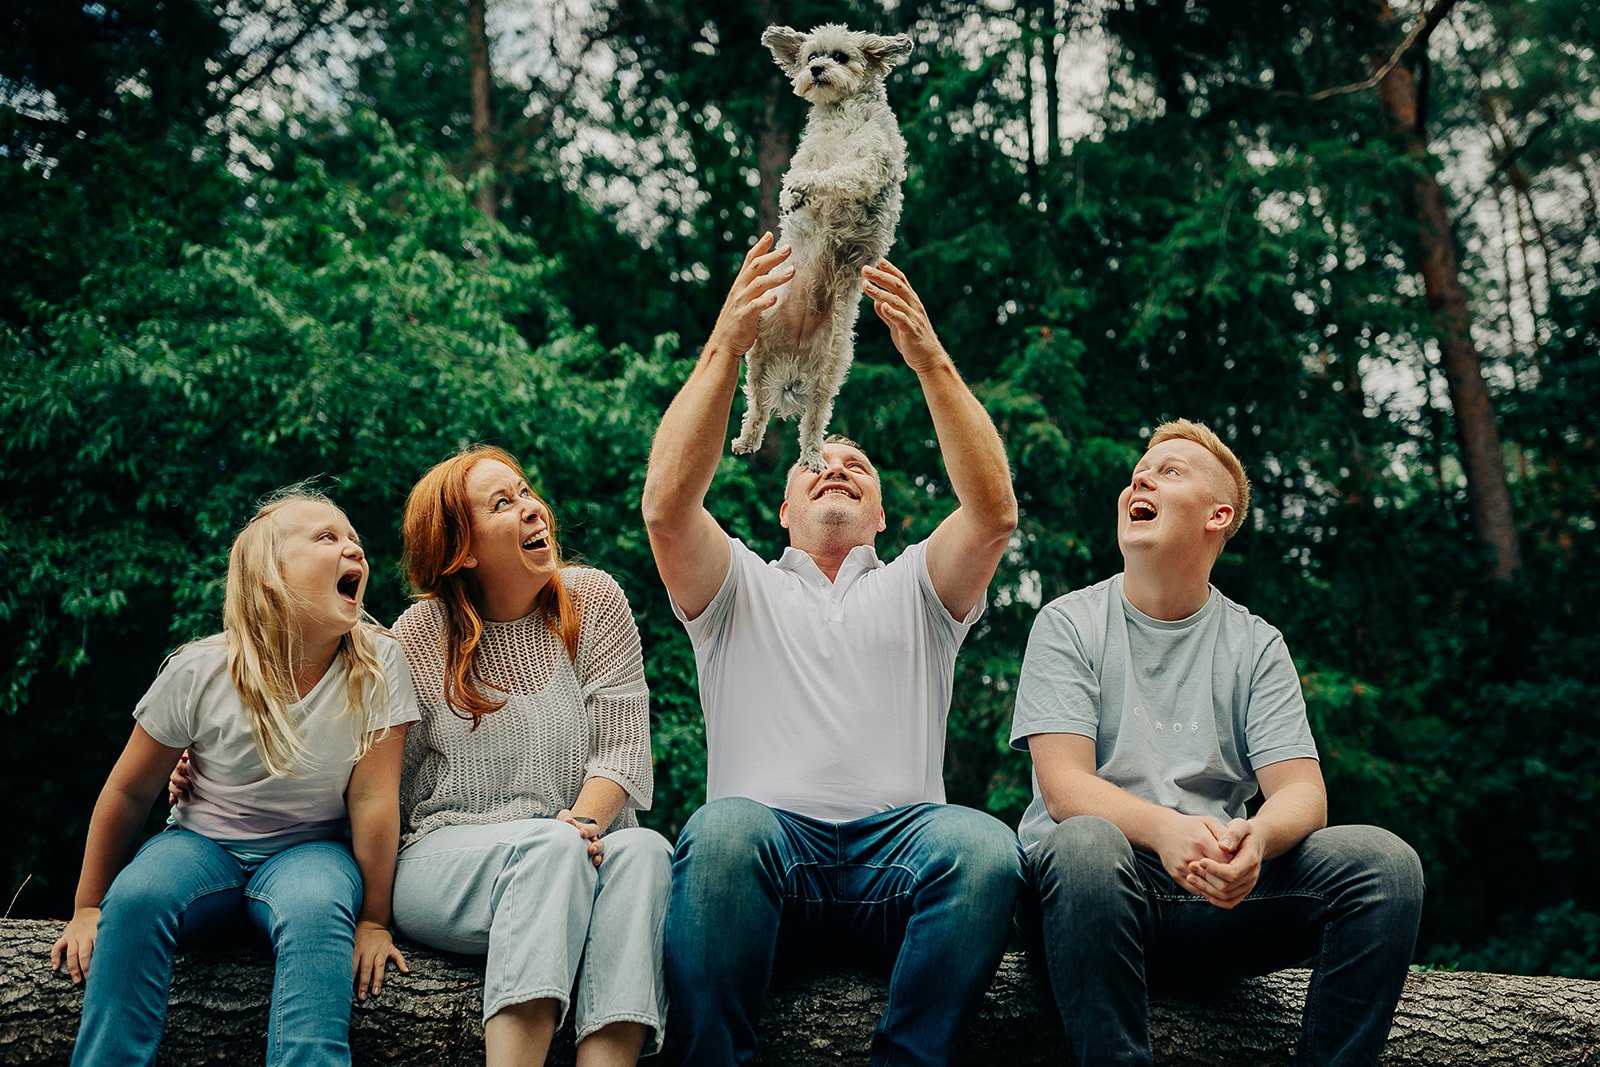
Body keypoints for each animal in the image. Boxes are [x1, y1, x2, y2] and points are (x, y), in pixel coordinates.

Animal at [732, 20, 915, 470]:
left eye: (841, 56)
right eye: (811, 55)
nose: (816, 70)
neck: (840, 112)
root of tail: (794, 361)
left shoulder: (868, 163)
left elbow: (836, 175)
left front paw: (802, 190)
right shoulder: (811, 155)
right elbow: (807, 169)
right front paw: (792, 196)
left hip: (830, 372)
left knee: (812, 422)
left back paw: (814, 458)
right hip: (758, 357)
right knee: (757, 407)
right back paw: (747, 439)